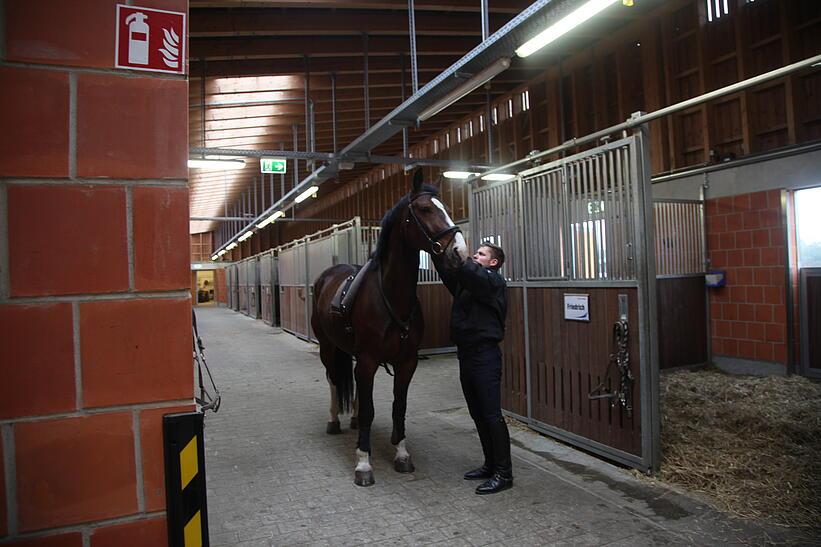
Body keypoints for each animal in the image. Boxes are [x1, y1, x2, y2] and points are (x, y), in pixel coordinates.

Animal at [310, 171, 464, 488]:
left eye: (445, 208)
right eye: (425, 209)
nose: (459, 251)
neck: (391, 297)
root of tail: (327, 276)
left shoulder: (406, 362)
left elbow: (399, 406)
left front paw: (402, 455)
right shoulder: (369, 360)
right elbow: (370, 409)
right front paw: (363, 463)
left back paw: (353, 419)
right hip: (328, 347)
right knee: (333, 380)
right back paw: (334, 421)